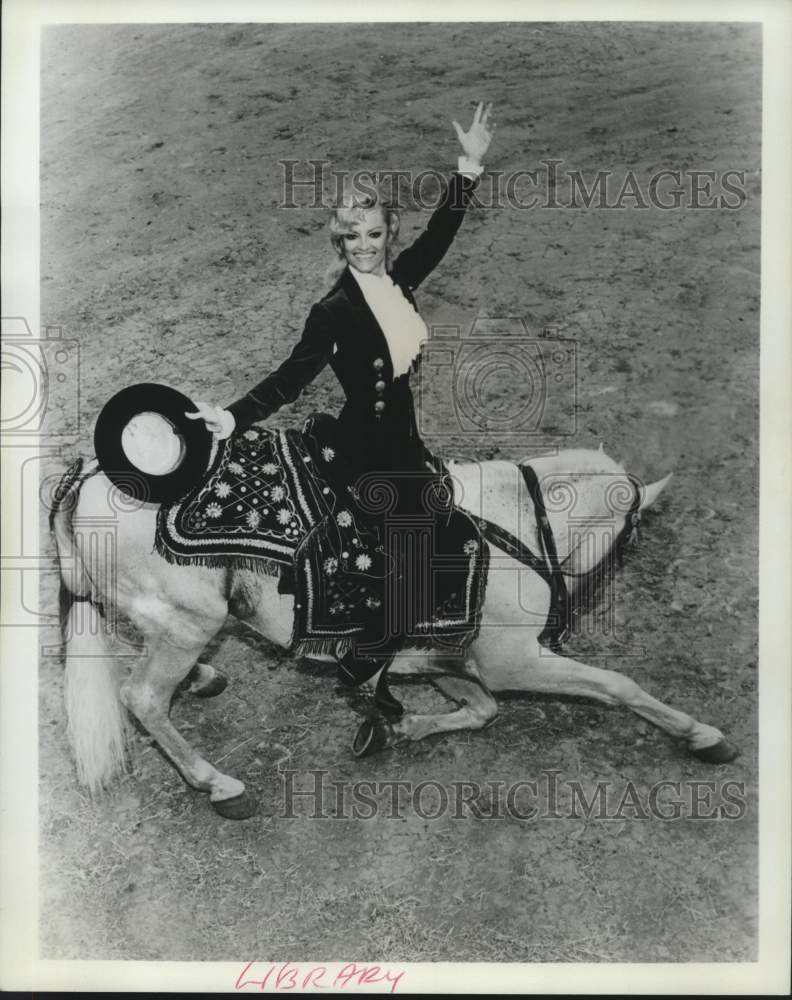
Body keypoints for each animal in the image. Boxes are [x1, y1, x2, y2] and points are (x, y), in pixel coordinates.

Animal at [52, 446, 740, 820]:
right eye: (630, 535)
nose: (572, 609)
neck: (511, 527)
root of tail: (86, 477)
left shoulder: (443, 657)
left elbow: (481, 710)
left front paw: (398, 728)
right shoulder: (514, 661)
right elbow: (617, 686)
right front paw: (701, 735)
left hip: (172, 623)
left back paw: (203, 679)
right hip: (188, 621)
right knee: (142, 697)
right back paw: (219, 785)